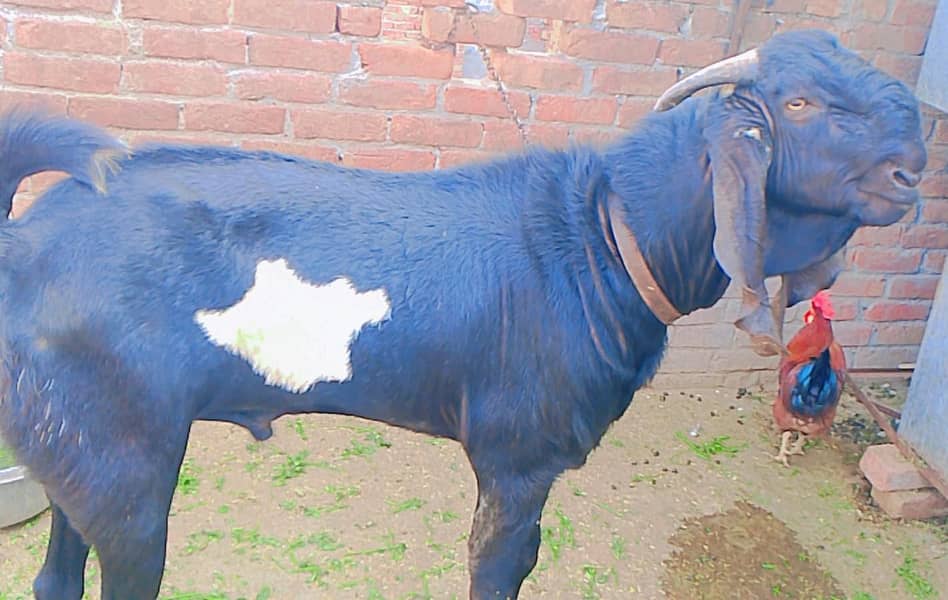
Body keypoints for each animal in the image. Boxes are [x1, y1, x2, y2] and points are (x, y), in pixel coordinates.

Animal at [0, 30, 927, 599]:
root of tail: (25, 241)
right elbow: (501, 568)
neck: (603, 235)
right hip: (124, 463)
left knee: (55, 576)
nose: (913, 167)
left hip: (79, 451)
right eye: (800, 104)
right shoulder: (520, 460)